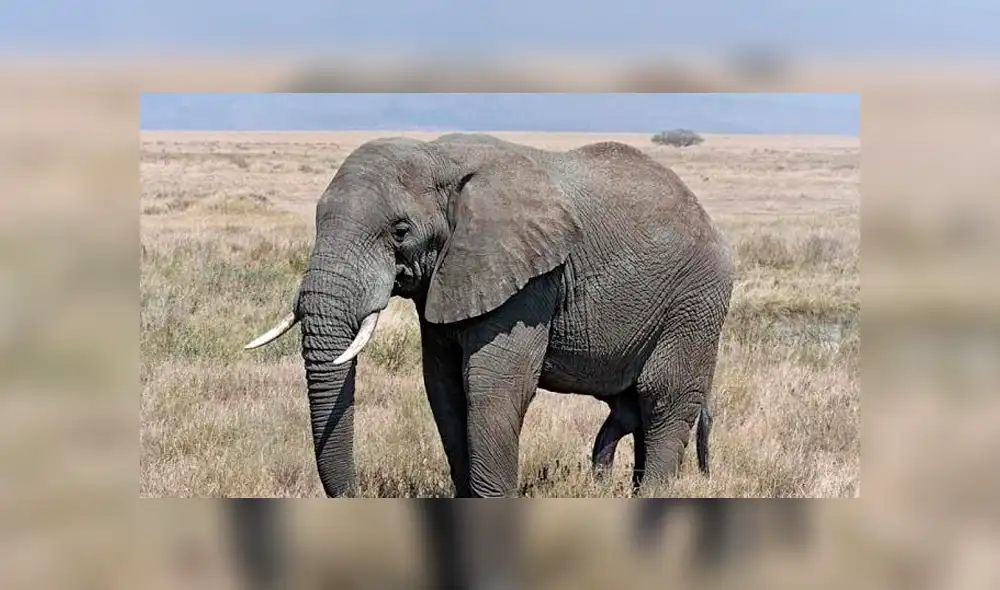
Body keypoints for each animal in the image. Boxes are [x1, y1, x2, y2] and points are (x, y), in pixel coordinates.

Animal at [244, 132, 734, 498]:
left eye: (400, 231)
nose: (357, 497)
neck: (437, 156)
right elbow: (443, 387)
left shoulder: (531, 278)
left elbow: (492, 386)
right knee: (630, 409)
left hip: (695, 301)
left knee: (662, 398)